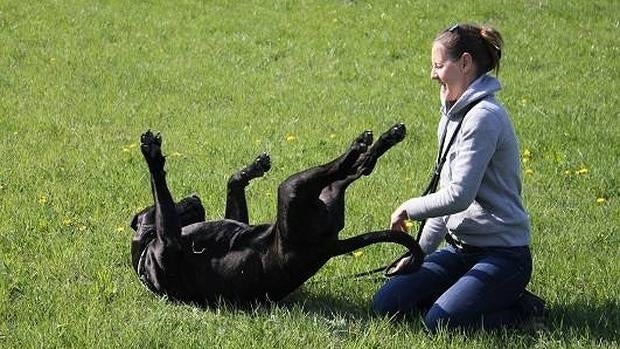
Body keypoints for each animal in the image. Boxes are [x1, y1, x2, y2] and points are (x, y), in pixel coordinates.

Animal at [130, 125, 422, 304]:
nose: (194, 197)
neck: (144, 252)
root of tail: (331, 245)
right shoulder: (169, 240)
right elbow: (159, 185)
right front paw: (152, 157)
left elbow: (232, 185)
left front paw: (250, 170)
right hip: (293, 191)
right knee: (347, 168)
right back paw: (362, 144)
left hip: (317, 192)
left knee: (357, 169)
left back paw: (385, 139)